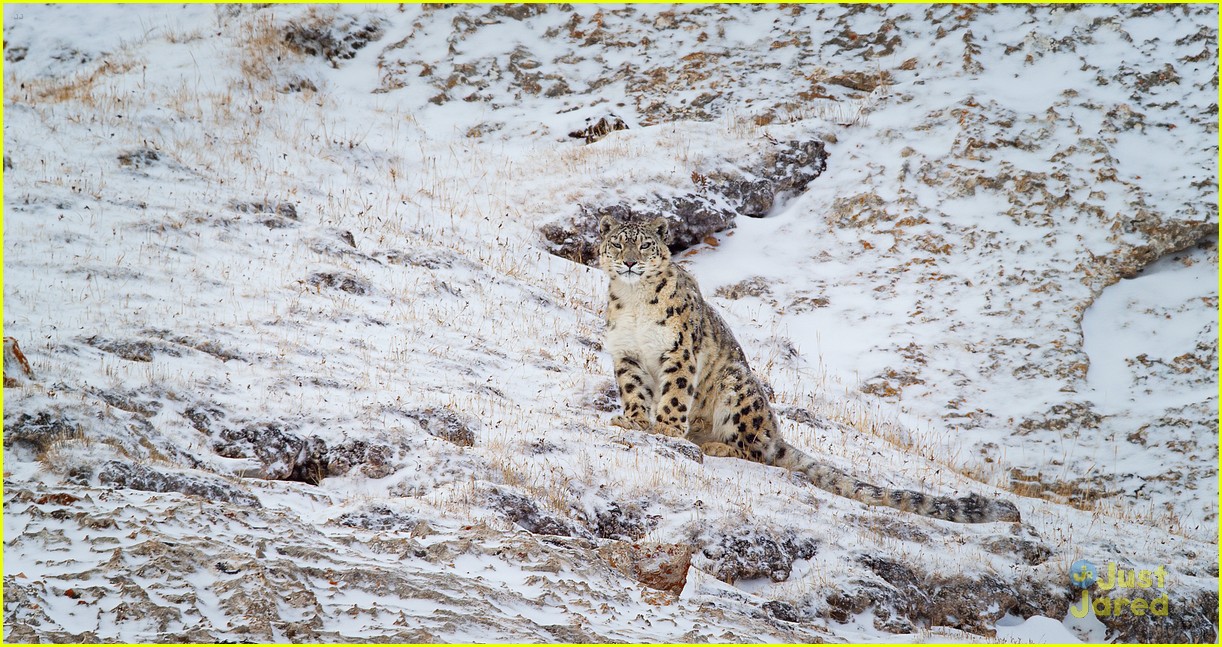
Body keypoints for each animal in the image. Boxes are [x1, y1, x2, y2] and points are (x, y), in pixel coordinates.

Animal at [597, 216, 1020, 524]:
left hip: (739, 386)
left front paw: (666, 428)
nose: (630, 261)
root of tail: (775, 431)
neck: (634, 304)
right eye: (618, 243)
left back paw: (717, 445)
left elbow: (674, 392)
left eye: (645, 244)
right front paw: (633, 421)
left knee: (757, 451)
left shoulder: (680, 350)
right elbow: (634, 391)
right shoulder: (627, 354)